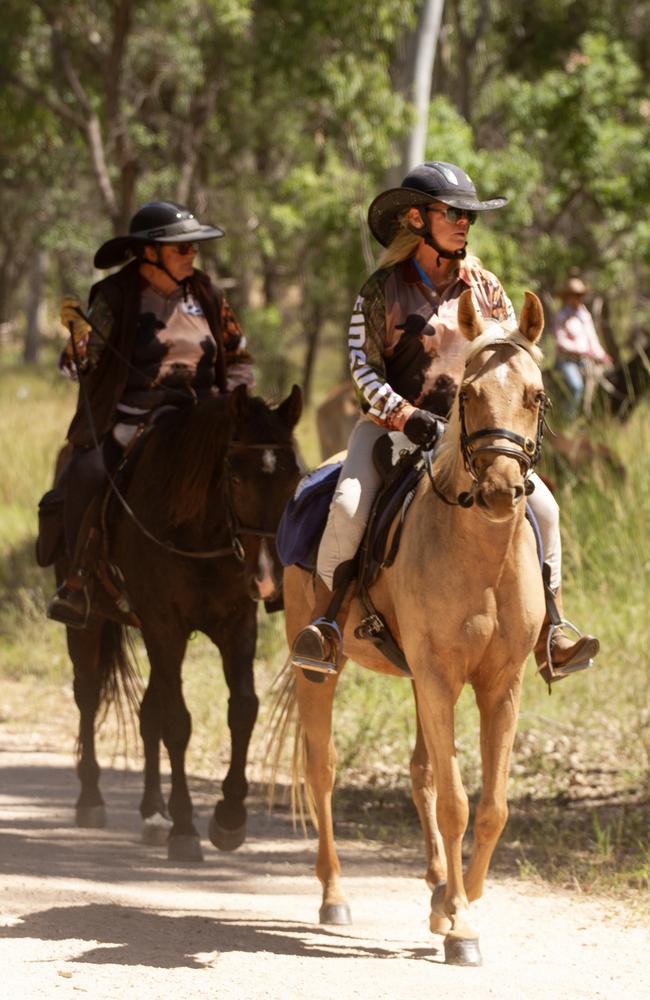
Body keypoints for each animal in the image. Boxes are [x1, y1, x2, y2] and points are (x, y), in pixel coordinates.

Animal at [58, 382, 302, 860]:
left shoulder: (235, 626)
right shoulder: (164, 626)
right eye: (237, 477)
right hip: (90, 626)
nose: (268, 578)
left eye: (294, 477)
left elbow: (242, 708)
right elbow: (178, 722)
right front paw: (187, 828)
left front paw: (229, 817)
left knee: (146, 709)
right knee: (89, 695)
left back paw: (154, 811)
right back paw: (92, 798)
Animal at [274, 292, 548, 964]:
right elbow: (455, 804)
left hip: (422, 684)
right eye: (467, 395)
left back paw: (436, 891)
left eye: (534, 395)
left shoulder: (497, 686)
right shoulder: (441, 676)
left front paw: (457, 904)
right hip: (322, 670)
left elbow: (491, 807)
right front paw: (463, 927)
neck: (481, 557)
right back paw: (335, 896)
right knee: (322, 770)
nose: (501, 491)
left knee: (421, 771)